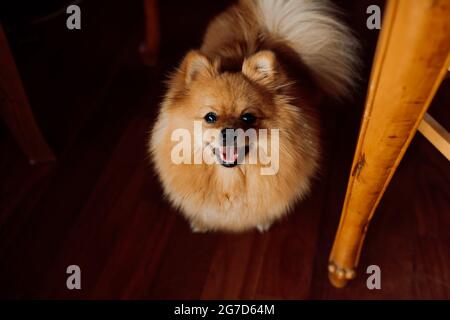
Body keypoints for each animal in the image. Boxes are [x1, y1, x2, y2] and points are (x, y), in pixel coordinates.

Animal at [149, 0, 360, 231]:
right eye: (210, 117)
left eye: (248, 117)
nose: (228, 133)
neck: (231, 180)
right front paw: (201, 222)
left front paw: (263, 221)